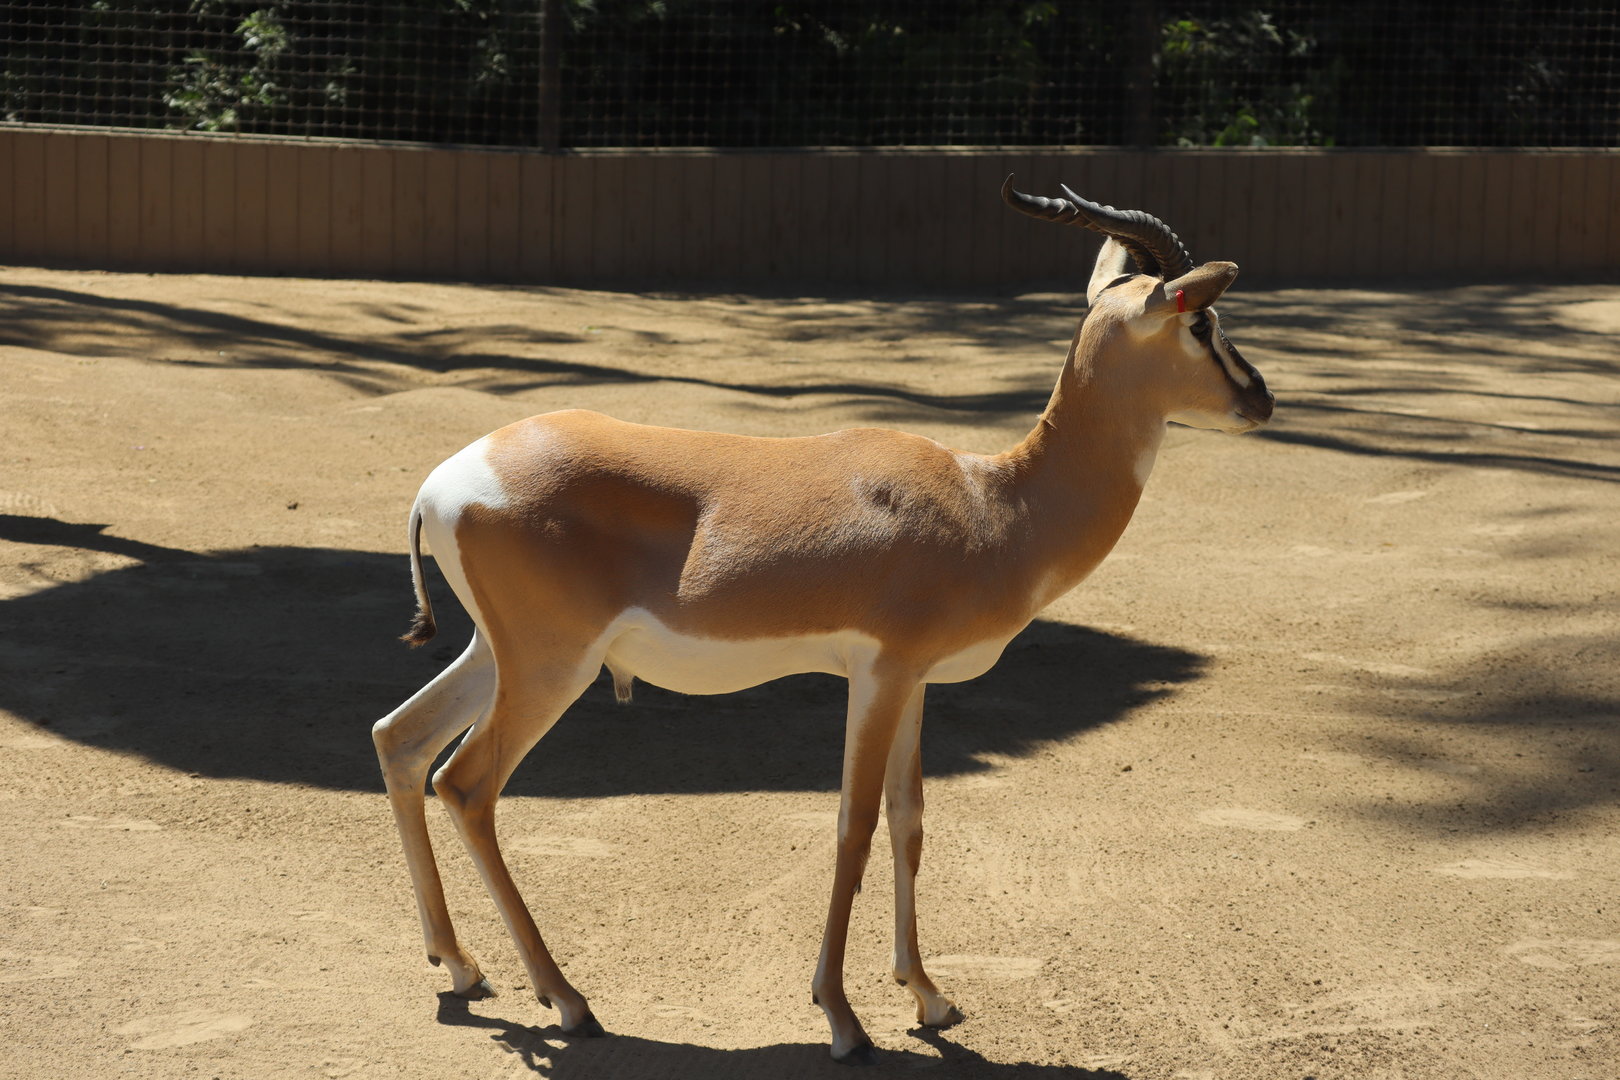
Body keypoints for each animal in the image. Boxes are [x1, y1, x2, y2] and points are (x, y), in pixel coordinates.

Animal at [371, 178, 1273, 1064]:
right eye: (1202, 321)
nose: (1262, 398)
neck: (994, 505)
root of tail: (442, 483)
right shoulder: (879, 672)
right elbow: (853, 826)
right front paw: (843, 1020)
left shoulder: (912, 682)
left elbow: (910, 821)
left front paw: (930, 998)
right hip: (553, 667)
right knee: (467, 782)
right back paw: (568, 1001)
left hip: (500, 655)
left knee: (400, 738)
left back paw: (461, 968)